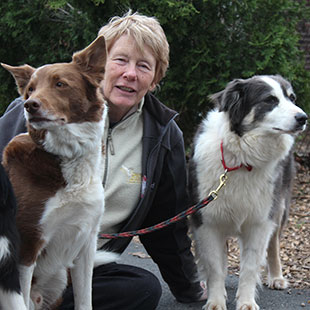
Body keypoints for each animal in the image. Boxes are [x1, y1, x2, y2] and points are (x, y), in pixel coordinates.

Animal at [1, 35, 115, 308]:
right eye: (30, 90)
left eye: (60, 84)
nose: (30, 105)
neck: (67, 155)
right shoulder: (27, 246)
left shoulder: (86, 244)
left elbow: (85, 300)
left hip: (59, 279)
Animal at [189, 75, 308, 310]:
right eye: (270, 100)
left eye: (291, 98)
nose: (303, 118)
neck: (242, 158)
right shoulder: (206, 221)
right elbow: (215, 266)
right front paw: (216, 300)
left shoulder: (260, 222)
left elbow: (250, 267)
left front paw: (246, 302)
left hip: (278, 207)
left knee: (273, 245)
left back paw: (276, 277)